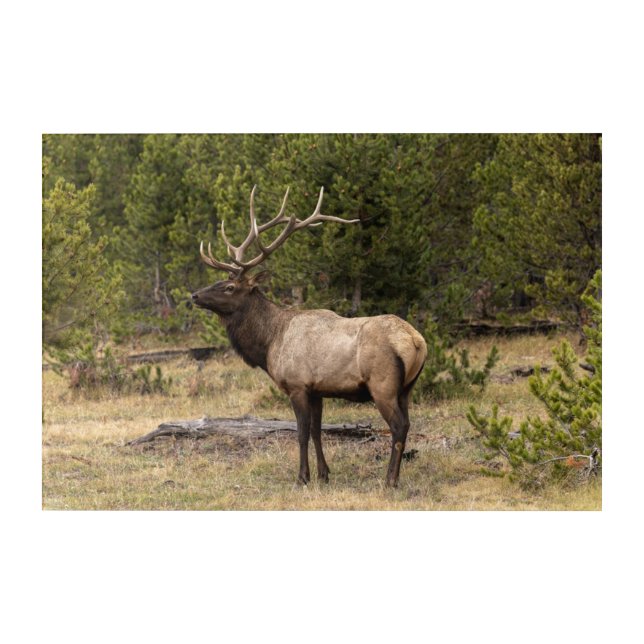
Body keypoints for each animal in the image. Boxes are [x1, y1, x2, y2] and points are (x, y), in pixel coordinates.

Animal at [191, 186, 427, 487]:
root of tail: (416, 341)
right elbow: (317, 430)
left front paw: (302, 477)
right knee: (407, 423)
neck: (269, 343)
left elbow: (301, 432)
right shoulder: (317, 390)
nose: (195, 295)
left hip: (382, 384)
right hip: (407, 388)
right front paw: (324, 474)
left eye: (230, 287)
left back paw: (390, 480)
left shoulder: (297, 385)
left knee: (398, 426)